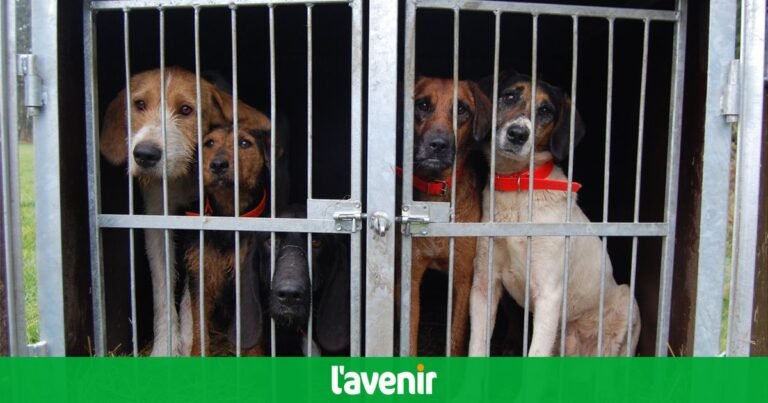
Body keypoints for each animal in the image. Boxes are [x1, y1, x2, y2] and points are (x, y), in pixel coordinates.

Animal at [100, 67, 270, 356]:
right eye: (139, 104)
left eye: (186, 110)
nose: (145, 154)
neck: (180, 177)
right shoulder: (157, 220)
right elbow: (163, 289)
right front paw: (164, 348)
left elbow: (193, 297)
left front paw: (190, 340)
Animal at [402, 76, 492, 356]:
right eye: (422, 105)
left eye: (461, 109)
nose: (438, 145)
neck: (437, 191)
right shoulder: (411, 277)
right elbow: (410, 336)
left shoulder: (463, 279)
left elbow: (455, 339)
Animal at [468, 72, 640, 356]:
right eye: (509, 96)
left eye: (546, 110)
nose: (518, 134)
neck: (518, 188)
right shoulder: (484, 284)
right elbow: (477, 347)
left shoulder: (549, 294)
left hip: (627, 302)